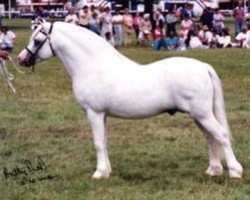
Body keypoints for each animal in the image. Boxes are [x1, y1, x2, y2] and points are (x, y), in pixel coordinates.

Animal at [18, 21, 242, 180]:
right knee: (211, 138)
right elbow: (104, 141)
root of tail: (203, 66)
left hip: (202, 114)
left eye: (37, 41)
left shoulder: (94, 113)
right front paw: (107, 171)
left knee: (221, 135)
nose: (21, 59)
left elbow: (97, 143)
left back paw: (234, 171)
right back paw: (213, 170)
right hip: (199, 115)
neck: (92, 65)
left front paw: (99, 173)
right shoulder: (102, 115)